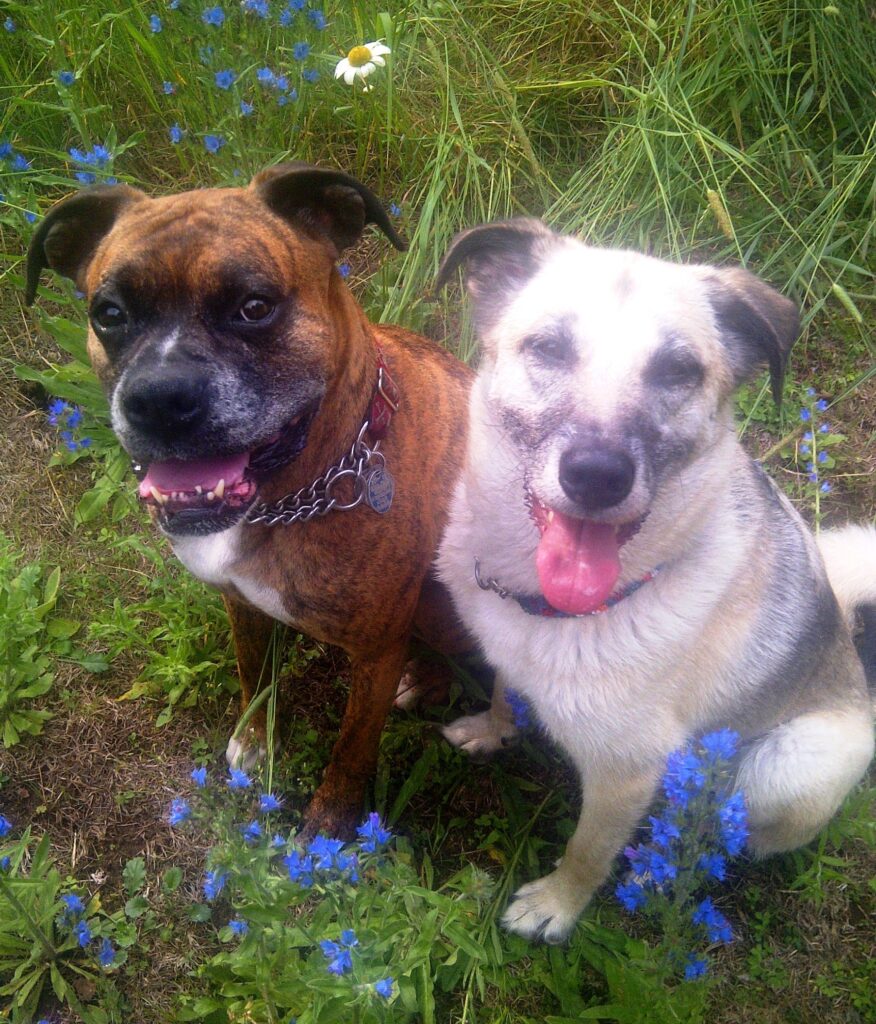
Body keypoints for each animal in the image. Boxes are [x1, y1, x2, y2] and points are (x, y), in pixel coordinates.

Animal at [27, 163, 473, 835]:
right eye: (109, 313)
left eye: (254, 307)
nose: (158, 397)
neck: (295, 493)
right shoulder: (240, 601)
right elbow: (254, 670)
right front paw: (256, 742)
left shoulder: (376, 650)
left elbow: (352, 746)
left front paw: (331, 825)